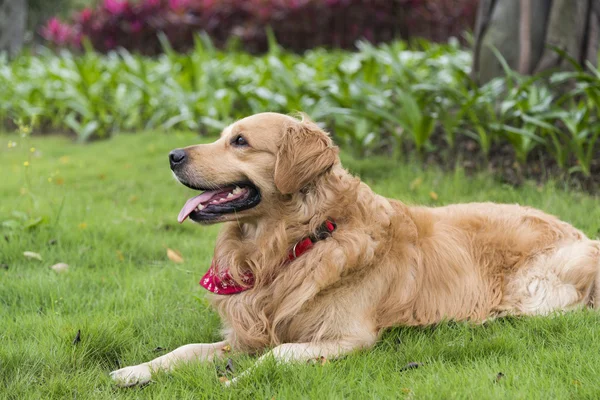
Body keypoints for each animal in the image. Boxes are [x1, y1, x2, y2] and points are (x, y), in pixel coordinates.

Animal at [109, 112, 600, 388]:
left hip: (534, 292)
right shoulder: (250, 331)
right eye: (222, 136)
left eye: (241, 141)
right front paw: (136, 371)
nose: (173, 156)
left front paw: (234, 382)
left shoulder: (347, 338)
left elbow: (277, 356)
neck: (297, 244)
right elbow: (186, 349)